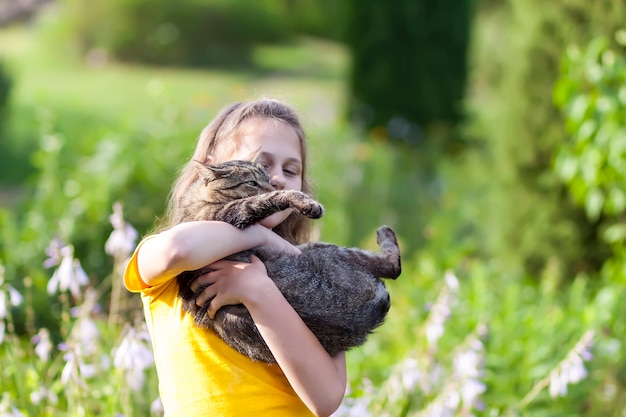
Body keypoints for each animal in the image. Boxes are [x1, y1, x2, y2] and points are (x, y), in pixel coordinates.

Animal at [176, 161, 400, 362]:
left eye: (267, 179)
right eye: (252, 182)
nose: (274, 185)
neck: (198, 199)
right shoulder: (224, 214)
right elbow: (265, 200)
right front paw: (306, 203)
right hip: (326, 251)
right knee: (393, 266)